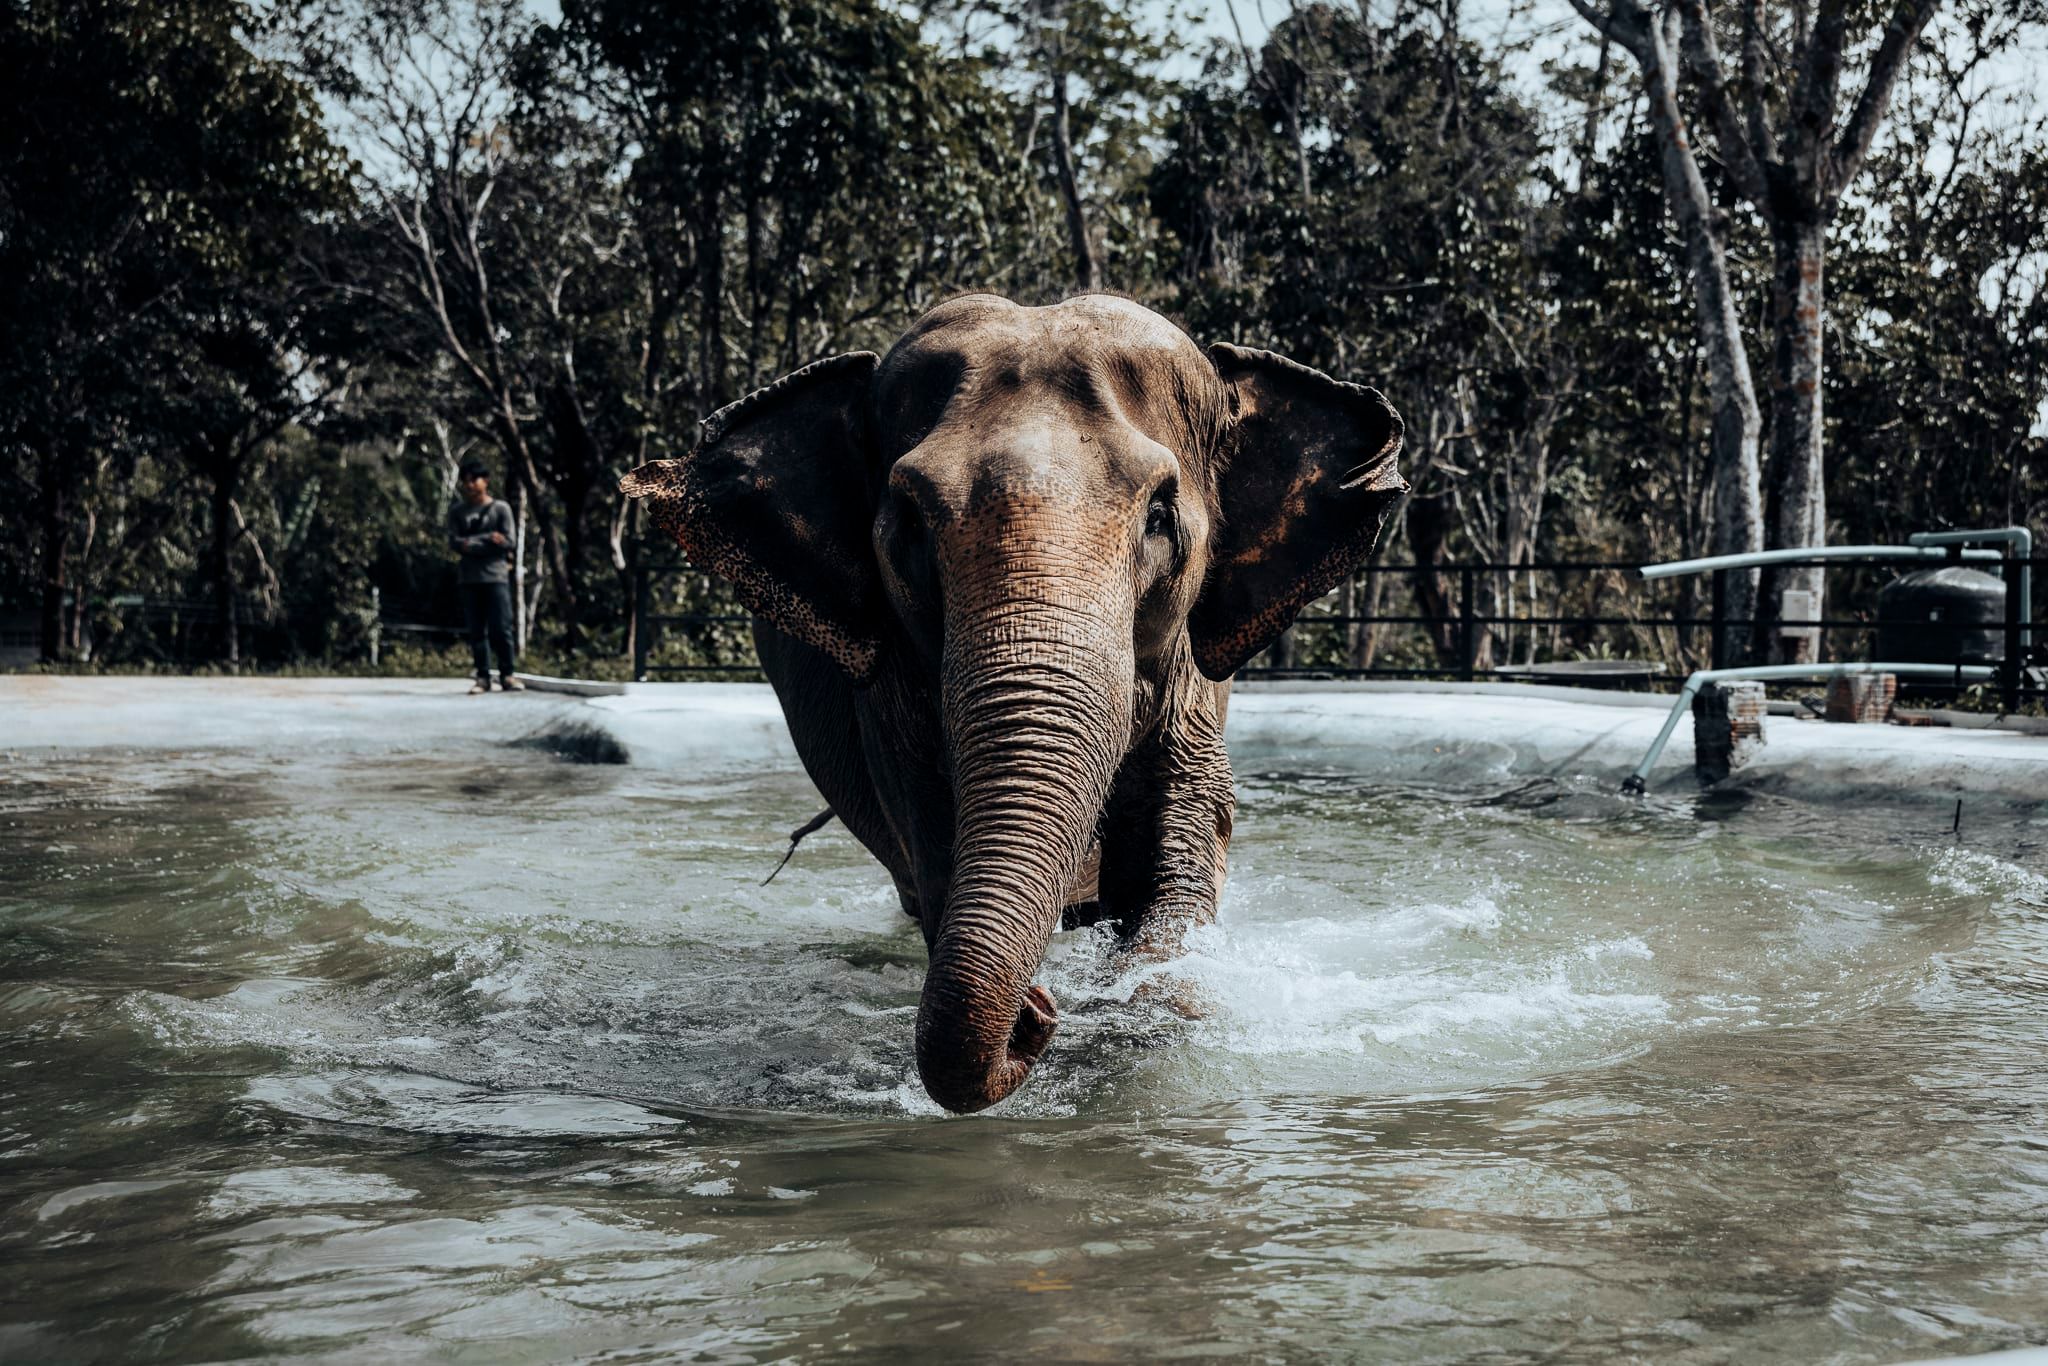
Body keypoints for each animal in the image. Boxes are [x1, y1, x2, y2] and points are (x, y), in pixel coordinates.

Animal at [622, 293, 1404, 1114]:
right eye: (907, 525)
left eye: (1161, 516)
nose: (1037, 1011)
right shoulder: (892, 692)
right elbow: (934, 837)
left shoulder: (1192, 676)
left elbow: (1183, 841)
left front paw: (1152, 1020)